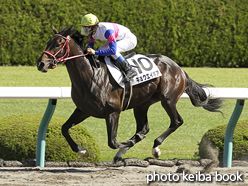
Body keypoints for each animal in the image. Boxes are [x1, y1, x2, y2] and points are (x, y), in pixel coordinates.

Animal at [35, 26, 223, 163]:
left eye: (58, 44)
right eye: (48, 42)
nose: (41, 63)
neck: (90, 76)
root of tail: (179, 68)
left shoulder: (113, 112)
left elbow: (112, 141)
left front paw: (125, 144)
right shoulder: (84, 110)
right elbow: (64, 128)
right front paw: (82, 150)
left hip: (168, 99)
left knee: (176, 121)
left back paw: (154, 147)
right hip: (141, 104)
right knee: (144, 127)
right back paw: (128, 147)